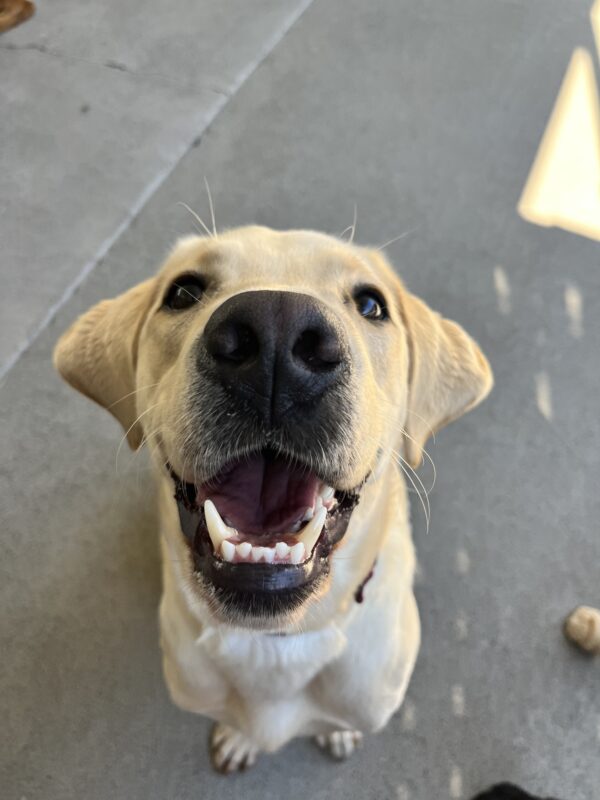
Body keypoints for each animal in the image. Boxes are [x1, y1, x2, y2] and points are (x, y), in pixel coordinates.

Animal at [54, 227, 492, 776]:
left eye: (371, 304)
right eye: (183, 291)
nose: (276, 331)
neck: (275, 640)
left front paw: (337, 732)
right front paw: (241, 738)